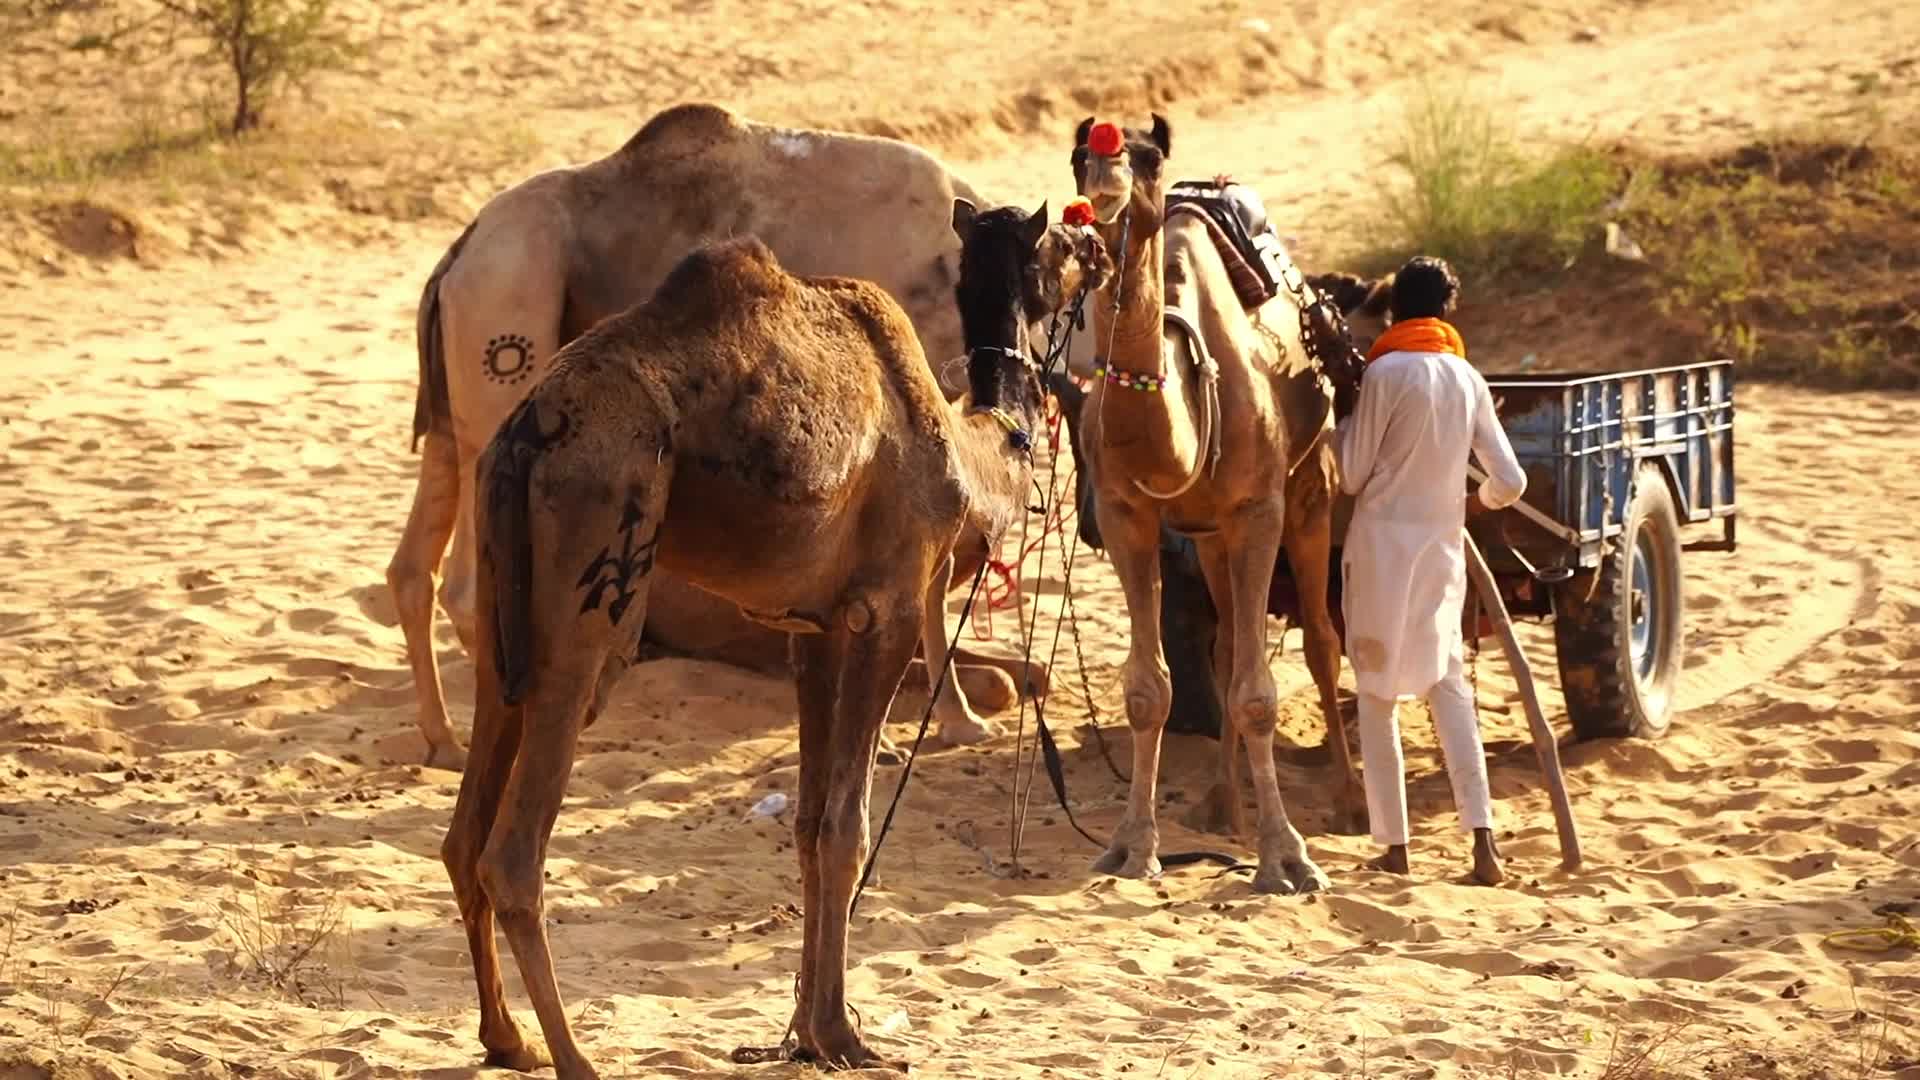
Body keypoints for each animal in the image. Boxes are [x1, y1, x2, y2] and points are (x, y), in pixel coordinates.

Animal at [391, 102, 1042, 769]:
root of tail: (458, 253)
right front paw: (953, 725)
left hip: (457, 408)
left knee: (414, 566)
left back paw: (443, 740)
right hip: (507, 319)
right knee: (469, 592)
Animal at [439, 204, 1110, 1077]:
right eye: (1062, 243)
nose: (1102, 248)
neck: (964, 443)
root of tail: (527, 432)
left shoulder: (811, 630)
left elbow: (807, 824)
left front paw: (810, 1032)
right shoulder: (887, 610)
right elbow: (847, 828)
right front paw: (846, 1036)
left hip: (502, 586)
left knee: (463, 831)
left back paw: (505, 1036)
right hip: (591, 573)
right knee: (512, 850)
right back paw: (575, 1058)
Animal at [1065, 113, 1357, 893]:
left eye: (1148, 159)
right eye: (1076, 158)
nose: (1102, 180)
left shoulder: (1260, 509)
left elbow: (1261, 692)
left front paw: (1286, 857)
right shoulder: (1126, 513)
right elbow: (1150, 689)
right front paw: (1132, 847)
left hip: (1310, 488)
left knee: (1322, 641)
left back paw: (1349, 802)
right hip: (1207, 536)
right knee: (1227, 645)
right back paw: (1225, 806)